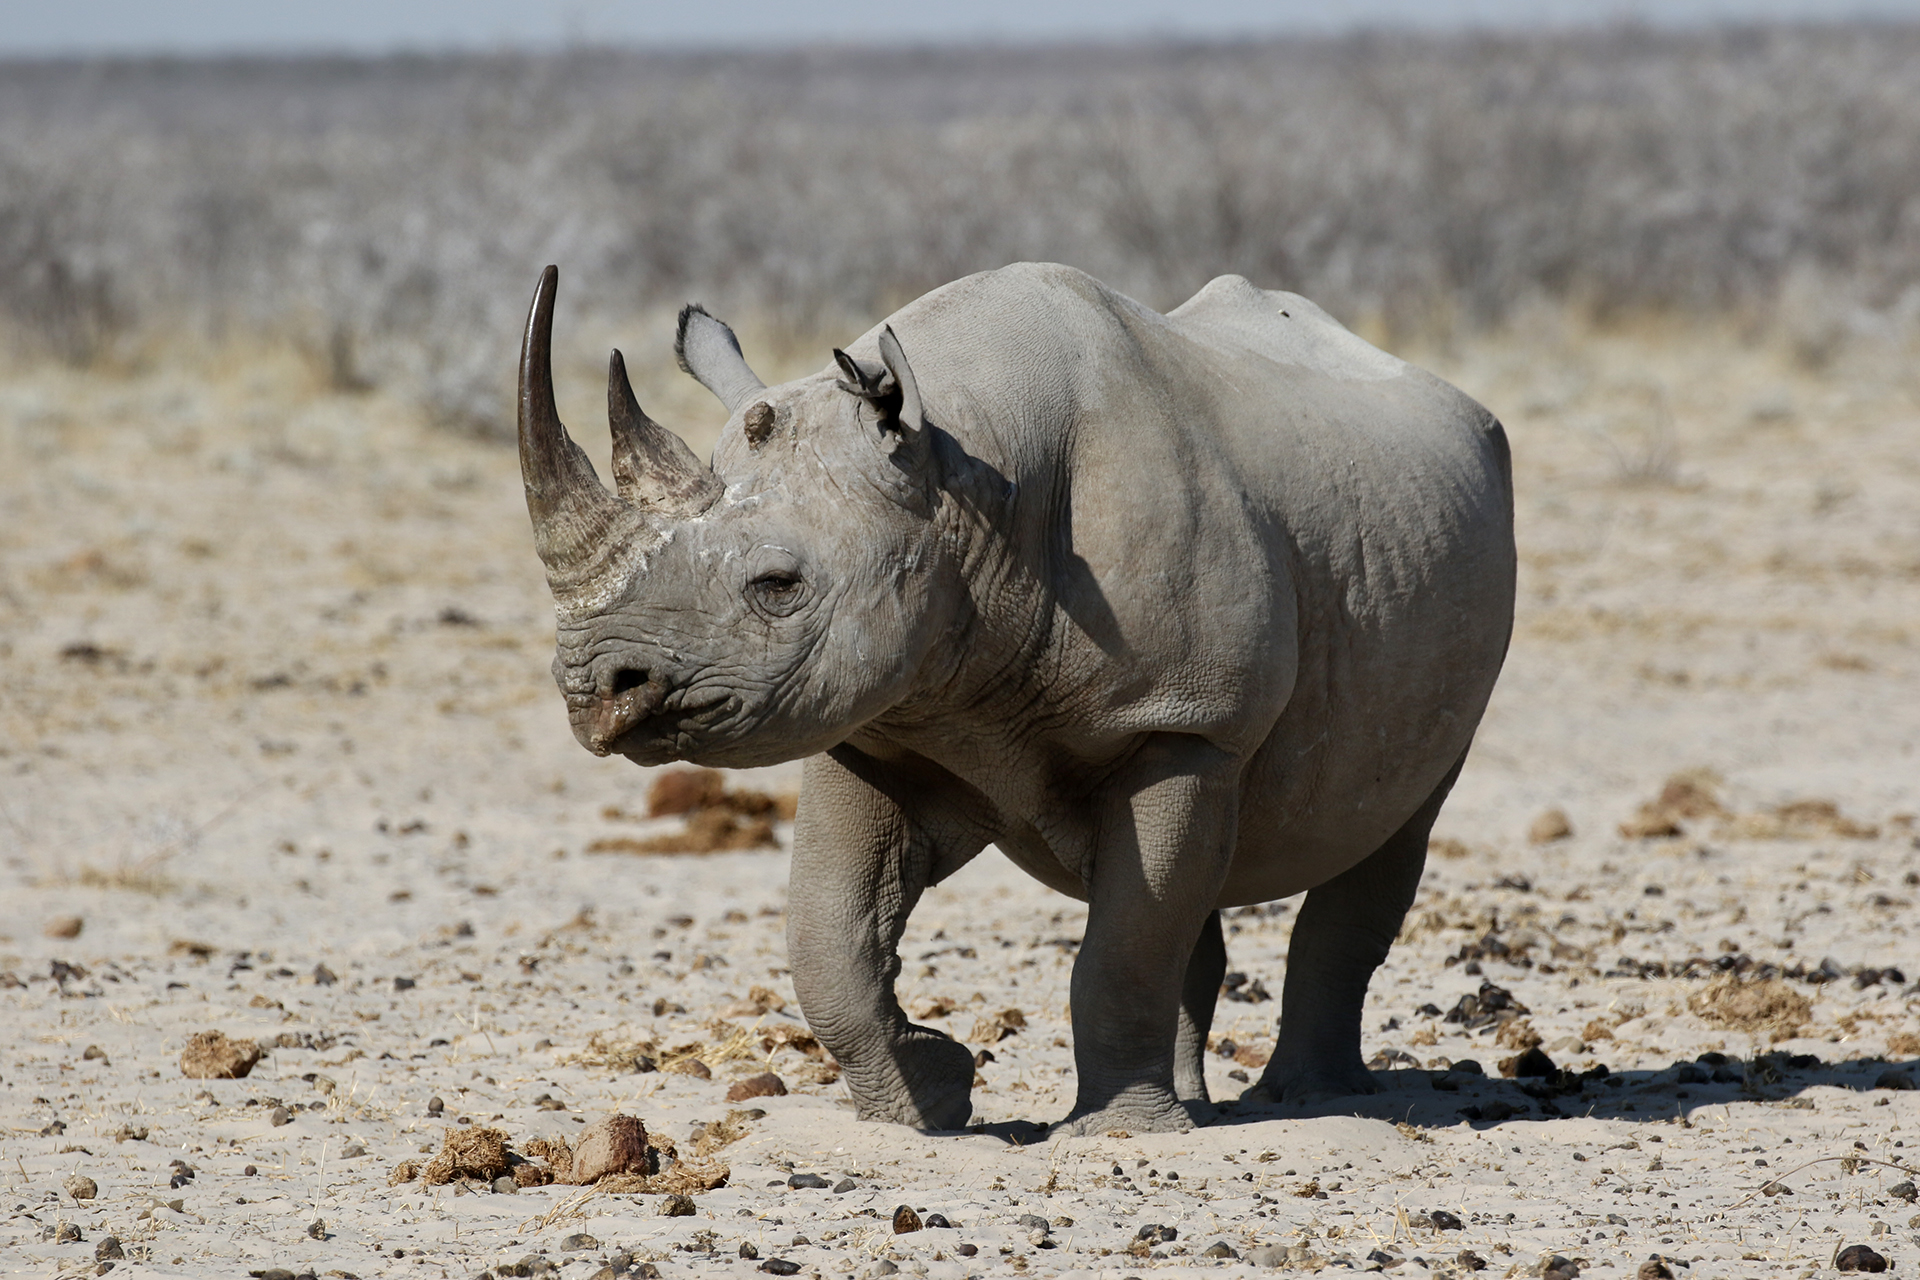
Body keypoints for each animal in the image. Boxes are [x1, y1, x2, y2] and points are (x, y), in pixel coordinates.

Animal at [510, 257, 1512, 1128]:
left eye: (778, 586)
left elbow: (1122, 949)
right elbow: (827, 938)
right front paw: (928, 1102)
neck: (962, 481)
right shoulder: (873, 718)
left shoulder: (1182, 718)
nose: (596, 688)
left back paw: (1305, 1101)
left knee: (1391, 826)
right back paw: (1200, 1105)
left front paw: (1114, 1136)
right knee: (1198, 887)